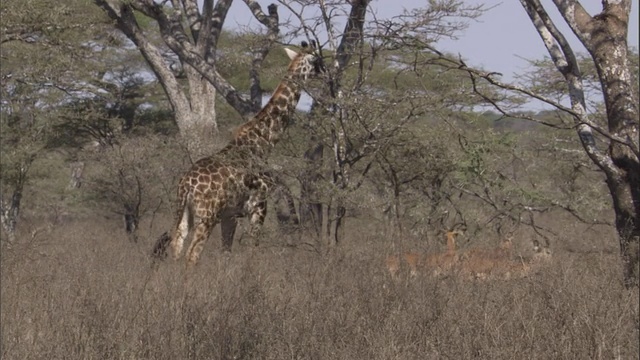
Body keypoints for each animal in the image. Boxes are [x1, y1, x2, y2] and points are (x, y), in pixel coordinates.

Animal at [165, 42, 324, 268]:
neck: (262, 143)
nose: (327, 73)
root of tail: (187, 185)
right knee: (192, 255)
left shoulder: (230, 215)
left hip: (184, 212)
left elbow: (226, 254)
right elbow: (252, 251)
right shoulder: (258, 207)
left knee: (176, 247)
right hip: (207, 216)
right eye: (318, 60)